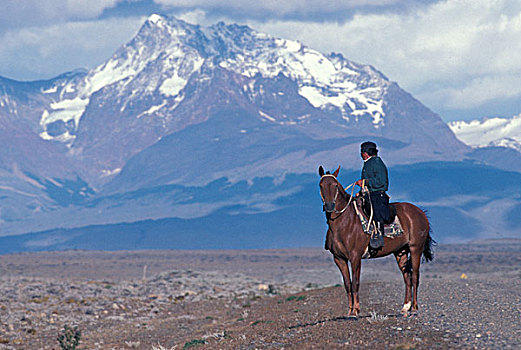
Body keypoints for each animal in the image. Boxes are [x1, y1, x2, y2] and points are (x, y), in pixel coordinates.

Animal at [316, 166, 434, 318]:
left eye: (335, 185)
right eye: (321, 185)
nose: (330, 206)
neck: (344, 222)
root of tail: (421, 213)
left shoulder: (355, 257)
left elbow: (355, 283)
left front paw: (356, 311)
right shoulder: (339, 258)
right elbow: (347, 284)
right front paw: (349, 311)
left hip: (415, 249)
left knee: (414, 276)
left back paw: (414, 308)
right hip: (400, 252)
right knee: (407, 277)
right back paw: (405, 308)